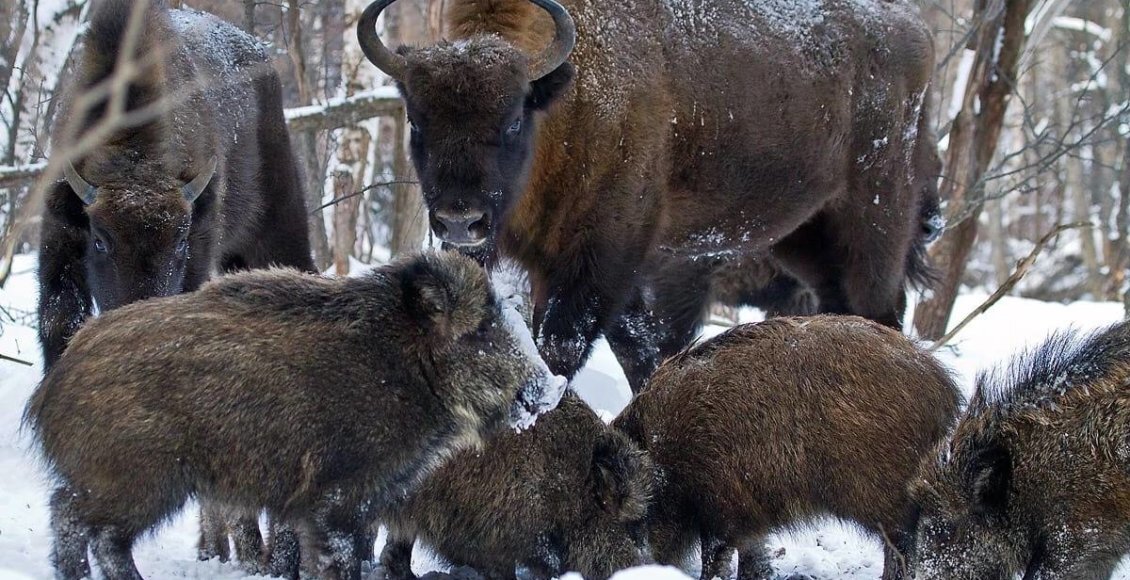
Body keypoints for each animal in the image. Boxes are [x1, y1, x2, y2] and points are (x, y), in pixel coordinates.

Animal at [19, 250, 562, 578]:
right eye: (482, 329)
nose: (553, 389)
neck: (407, 371)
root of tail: (52, 385)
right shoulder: (338, 495)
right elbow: (338, 558)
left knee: (80, 523)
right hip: (137, 478)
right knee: (80, 521)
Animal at [357, 0, 940, 391]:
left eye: (513, 119)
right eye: (417, 122)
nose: (461, 220)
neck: (567, 96)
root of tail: (917, 34)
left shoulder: (603, 256)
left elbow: (562, 346)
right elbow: (637, 347)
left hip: (874, 220)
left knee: (879, 309)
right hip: (800, 236)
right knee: (839, 304)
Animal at [614, 316, 967, 578]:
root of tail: (944, 387)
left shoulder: (718, 502)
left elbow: (715, 555)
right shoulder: (745, 512)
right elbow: (752, 554)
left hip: (881, 492)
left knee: (903, 543)